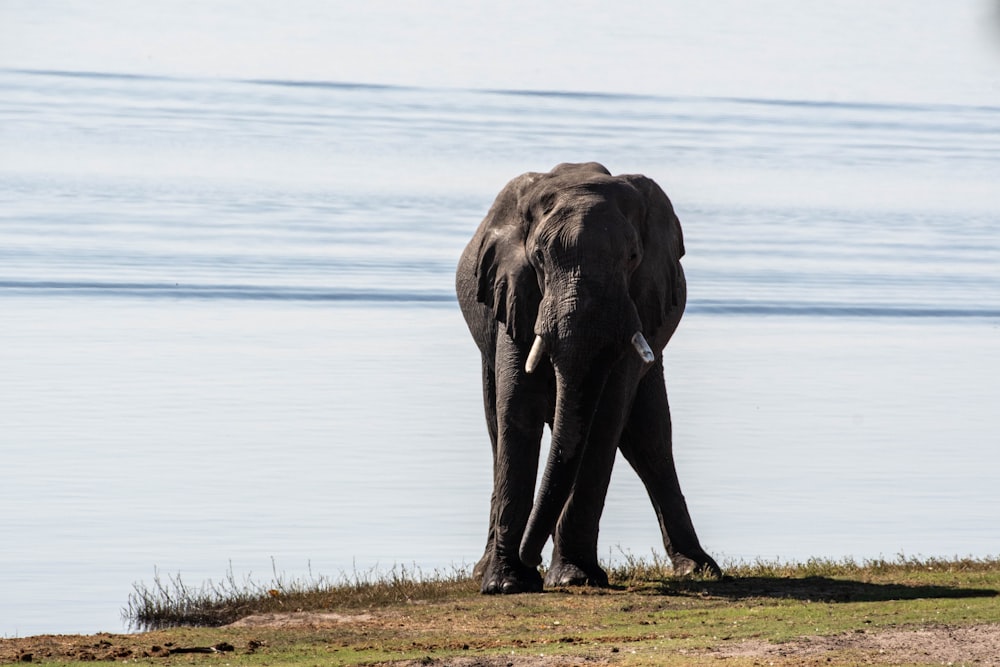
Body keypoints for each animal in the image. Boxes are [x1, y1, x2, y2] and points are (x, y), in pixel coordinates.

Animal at [454, 163, 720, 596]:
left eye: (632, 257)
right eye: (539, 258)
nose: (530, 556)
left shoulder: (636, 306)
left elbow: (605, 420)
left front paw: (573, 577)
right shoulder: (514, 293)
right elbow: (518, 413)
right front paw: (506, 584)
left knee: (649, 440)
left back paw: (698, 569)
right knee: (496, 427)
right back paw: (484, 570)